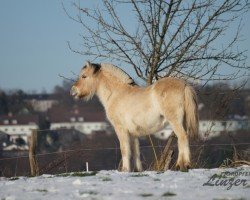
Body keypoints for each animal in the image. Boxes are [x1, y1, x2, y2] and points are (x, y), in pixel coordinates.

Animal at [71, 61, 199, 172]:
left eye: (84, 76)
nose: (73, 91)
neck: (117, 94)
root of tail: (185, 84)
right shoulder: (133, 133)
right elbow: (135, 151)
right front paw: (137, 170)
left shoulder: (121, 129)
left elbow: (125, 150)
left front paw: (125, 170)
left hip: (175, 121)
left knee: (182, 137)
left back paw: (183, 165)